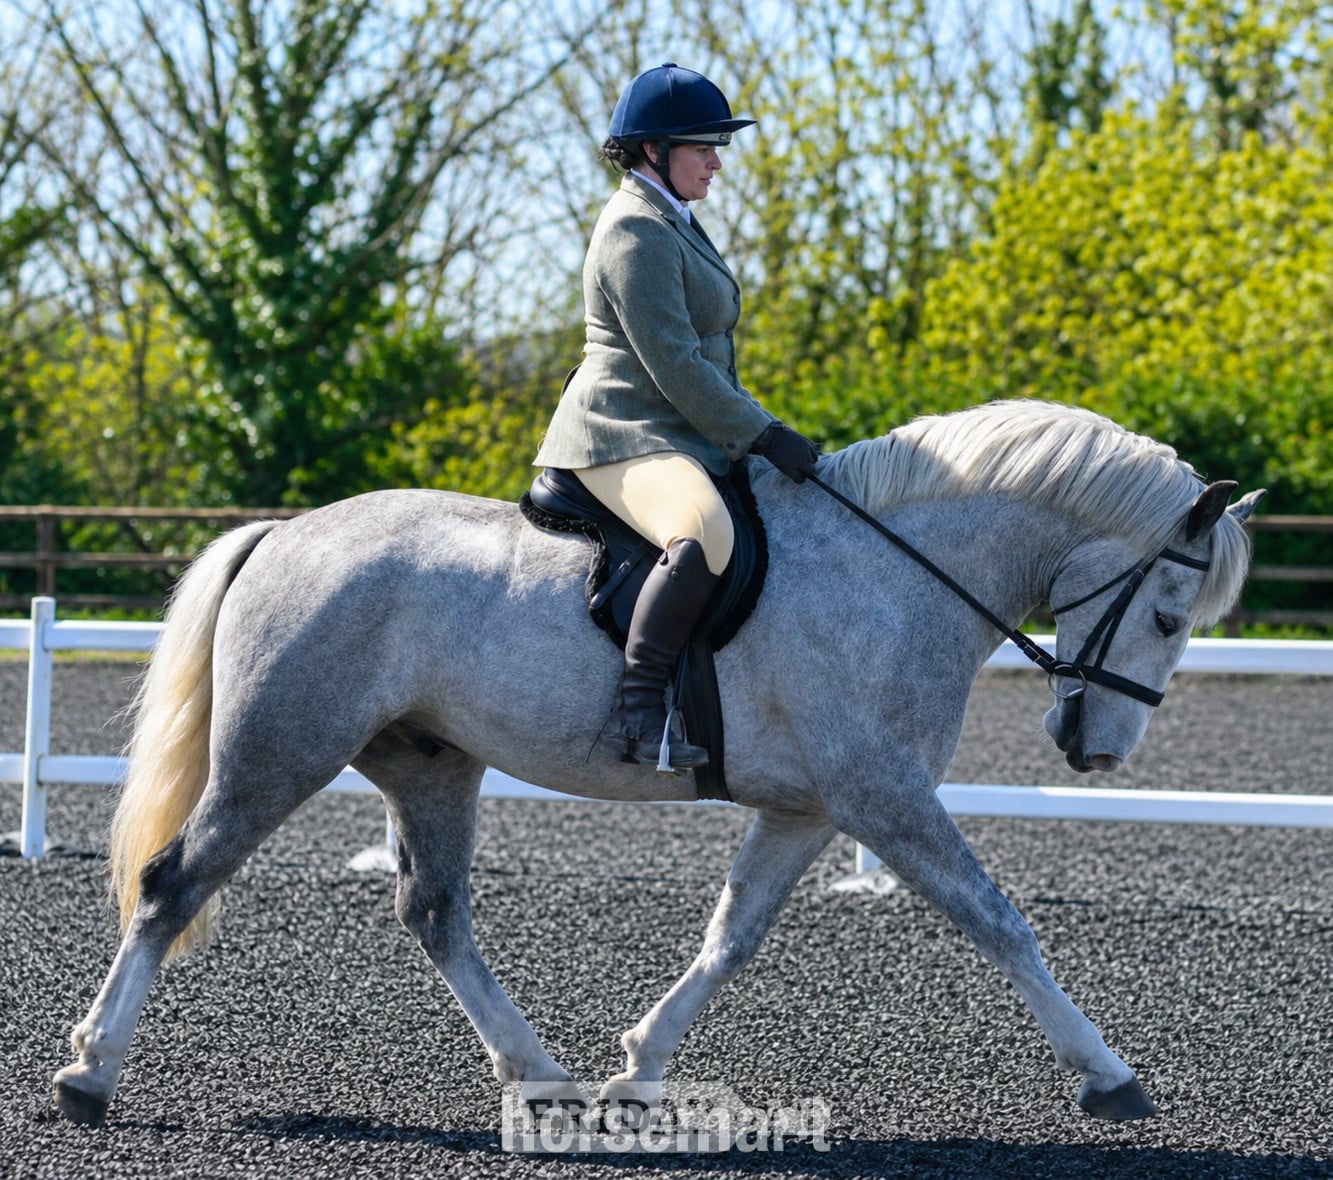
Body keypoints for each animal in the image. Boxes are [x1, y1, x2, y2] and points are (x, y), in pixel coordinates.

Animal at [51, 399, 1263, 1130]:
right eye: (1166, 613)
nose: (1094, 750)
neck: (895, 570)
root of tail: (284, 534)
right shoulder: (884, 796)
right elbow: (1000, 921)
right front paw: (1109, 1074)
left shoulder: (811, 809)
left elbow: (731, 936)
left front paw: (638, 1064)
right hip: (281, 751)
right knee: (171, 885)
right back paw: (88, 1072)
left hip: (428, 763)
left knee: (434, 912)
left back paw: (542, 1074)